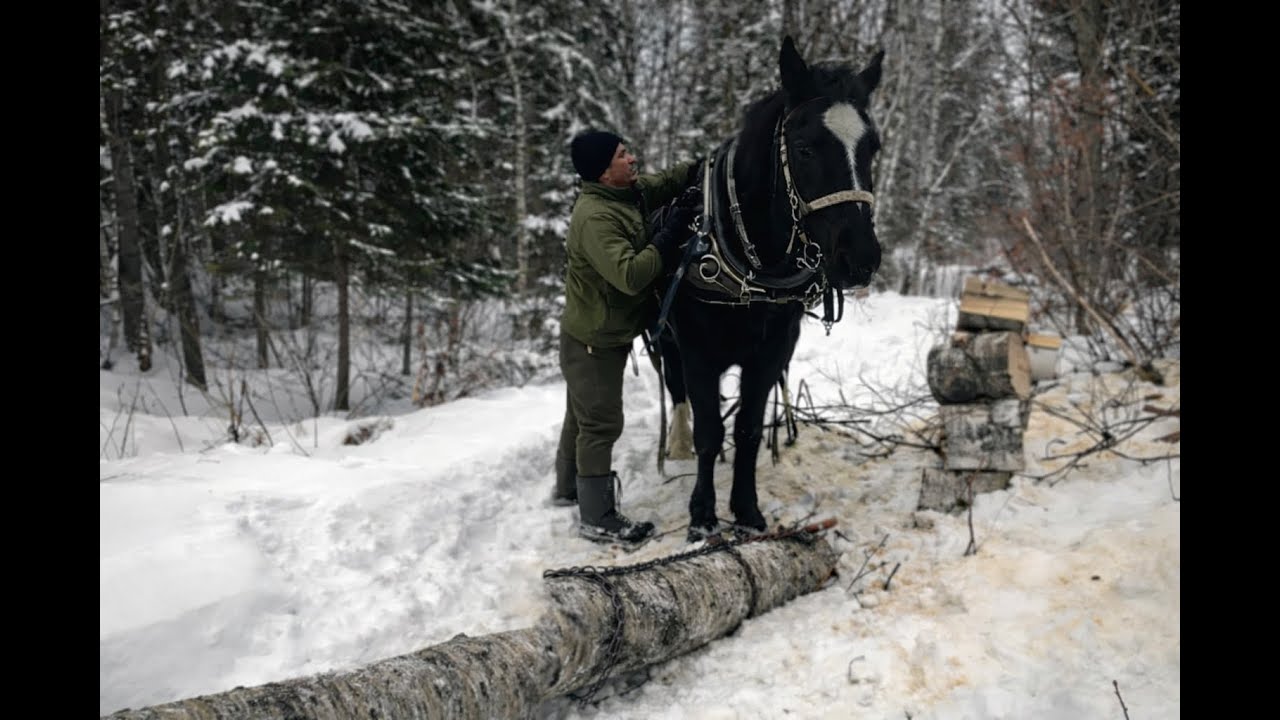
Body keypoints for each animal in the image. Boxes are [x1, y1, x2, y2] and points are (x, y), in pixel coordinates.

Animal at [657, 36, 884, 542]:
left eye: (872, 149)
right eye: (803, 148)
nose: (860, 258)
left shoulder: (770, 350)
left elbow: (748, 429)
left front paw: (746, 509)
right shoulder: (698, 351)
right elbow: (709, 431)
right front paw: (702, 515)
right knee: (677, 392)